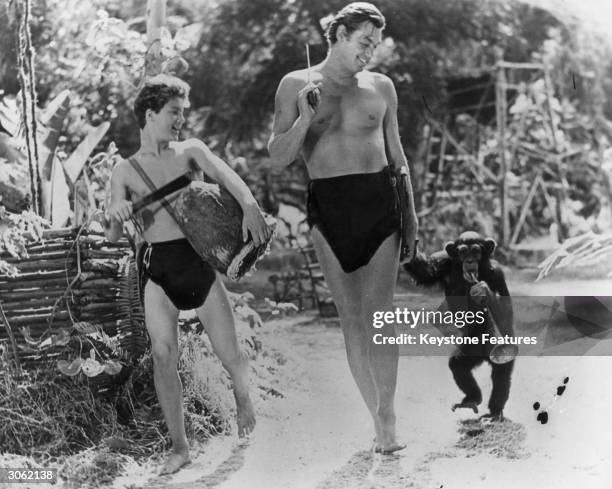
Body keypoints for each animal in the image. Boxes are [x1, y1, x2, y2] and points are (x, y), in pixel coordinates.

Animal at [404, 232, 512, 420]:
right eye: (462, 252)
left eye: (476, 251)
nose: (469, 260)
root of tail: (485, 356)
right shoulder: (442, 262)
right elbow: (423, 271)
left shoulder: (497, 273)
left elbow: (506, 304)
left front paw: (483, 290)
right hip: (472, 348)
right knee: (458, 365)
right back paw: (472, 399)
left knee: (501, 373)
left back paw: (494, 412)